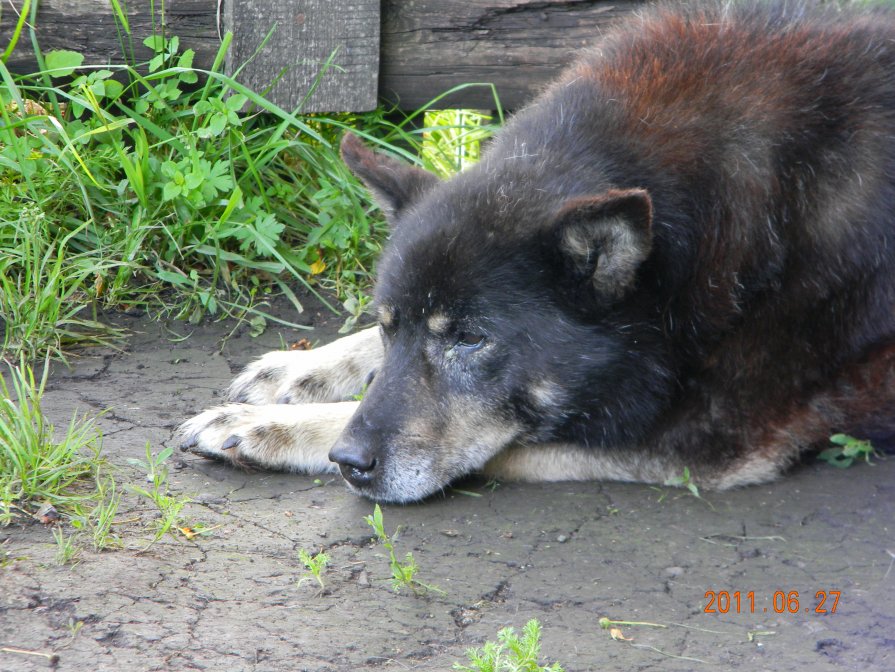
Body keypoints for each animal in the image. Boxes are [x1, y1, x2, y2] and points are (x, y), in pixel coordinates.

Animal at [177, 2, 895, 502]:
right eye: (388, 327)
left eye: (471, 340)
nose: (350, 464)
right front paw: (298, 370)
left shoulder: (698, 439)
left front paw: (272, 428)